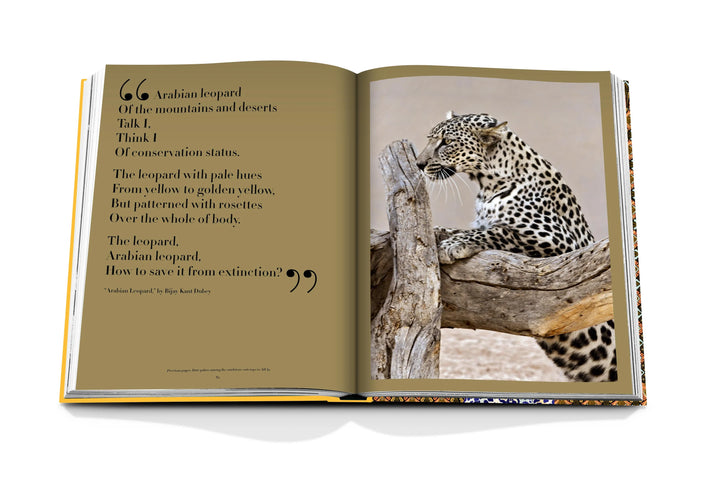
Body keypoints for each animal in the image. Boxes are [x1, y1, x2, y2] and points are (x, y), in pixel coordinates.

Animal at [416, 112, 616, 382]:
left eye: (447, 142)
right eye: (431, 138)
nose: (419, 164)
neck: (488, 184)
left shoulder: (564, 247)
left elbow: (500, 231)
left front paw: (455, 245)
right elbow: (464, 228)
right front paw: (439, 233)